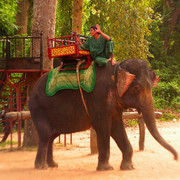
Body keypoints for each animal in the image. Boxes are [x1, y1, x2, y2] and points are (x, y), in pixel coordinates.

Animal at [28, 58, 178, 170]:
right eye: (136, 88)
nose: (175, 158)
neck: (117, 68)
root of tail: (33, 89)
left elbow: (117, 127)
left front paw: (128, 167)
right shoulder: (99, 97)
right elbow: (103, 126)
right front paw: (106, 168)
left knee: (52, 136)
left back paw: (53, 165)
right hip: (38, 108)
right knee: (46, 134)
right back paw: (41, 167)